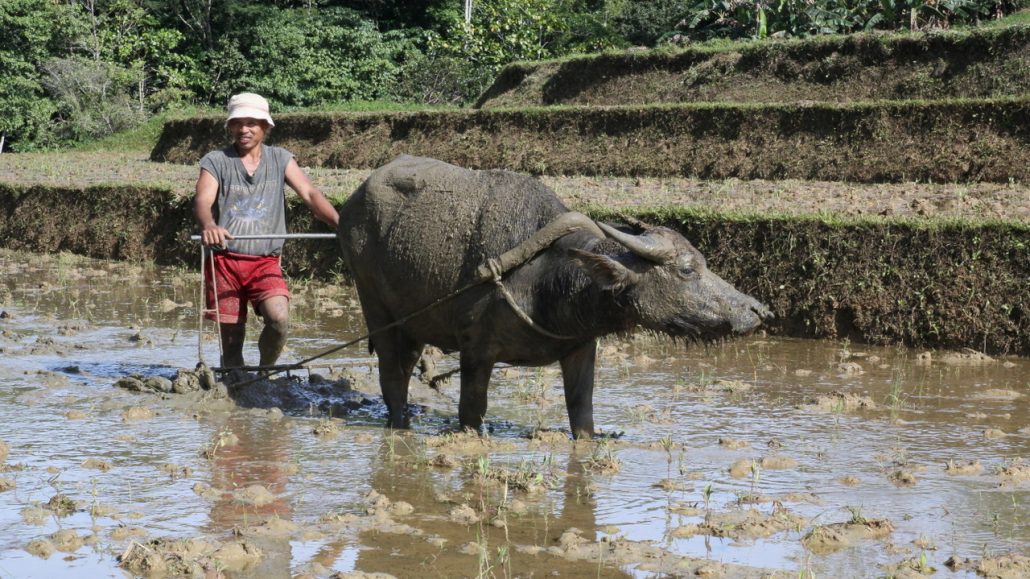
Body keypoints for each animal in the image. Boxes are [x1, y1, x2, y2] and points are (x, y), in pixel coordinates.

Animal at [339, 155, 774, 434]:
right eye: (687, 270)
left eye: (703, 262)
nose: (758, 311)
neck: (549, 281)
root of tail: (352, 203)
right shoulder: (476, 350)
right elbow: (472, 411)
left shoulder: (582, 348)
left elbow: (581, 411)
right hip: (374, 305)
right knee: (390, 375)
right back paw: (399, 424)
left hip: (413, 321)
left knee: (406, 365)